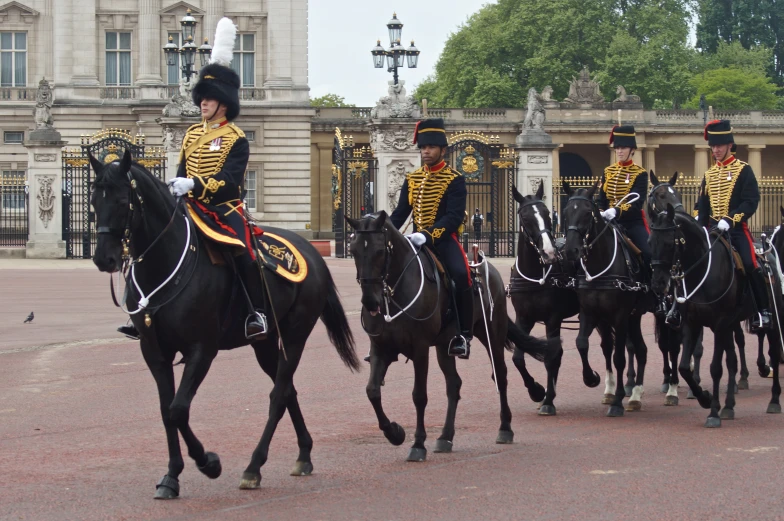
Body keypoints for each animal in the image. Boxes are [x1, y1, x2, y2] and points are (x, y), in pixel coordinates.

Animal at [90, 149, 360, 496]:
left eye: (124, 200)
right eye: (94, 201)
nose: (104, 259)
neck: (166, 261)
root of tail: (312, 253)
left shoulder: (202, 349)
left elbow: (178, 409)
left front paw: (209, 463)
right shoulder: (154, 353)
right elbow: (167, 411)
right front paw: (172, 476)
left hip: (294, 336)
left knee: (277, 396)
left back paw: (253, 467)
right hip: (266, 344)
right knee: (287, 390)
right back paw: (303, 454)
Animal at [346, 211, 556, 460]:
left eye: (380, 250)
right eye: (353, 250)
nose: (370, 302)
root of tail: (490, 269)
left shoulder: (420, 348)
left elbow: (419, 395)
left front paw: (418, 444)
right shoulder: (381, 348)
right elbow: (372, 391)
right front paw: (394, 433)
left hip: (490, 334)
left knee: (500, 375)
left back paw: (505, 428)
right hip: (444, 345)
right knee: (454, 384)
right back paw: (446, 436)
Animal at [508, 183, 620, 414]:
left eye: (547, 215)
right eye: (525, 217)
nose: (550, 253)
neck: (536, 275)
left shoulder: (553, 318)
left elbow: (553, 356)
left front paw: (548, 399)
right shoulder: (523, 318)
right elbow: (518, 358)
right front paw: (537, 391)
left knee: (608, 345)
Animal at [564, 183, 648, 414]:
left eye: (587, 213)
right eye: (566, 212)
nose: (570, 250)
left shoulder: (619, 316)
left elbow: (619, 357)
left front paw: (618, 401)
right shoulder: (590, 312)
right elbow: (583, 343)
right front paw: (592, 378)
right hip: (632, 317)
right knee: (637, 349)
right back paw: (631, 394)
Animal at [648, 203, 780, 426]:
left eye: (668, 243)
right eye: (650, 242)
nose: (658, 284)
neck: (702, 270)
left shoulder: (719, 324)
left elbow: (716, 367)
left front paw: (713, 413)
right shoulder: (692, 323)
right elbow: (684, 366)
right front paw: (706, 399)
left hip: (773, 319)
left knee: (774, 352)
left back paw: (774, 399)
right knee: (733, 359)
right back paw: (729, 404)